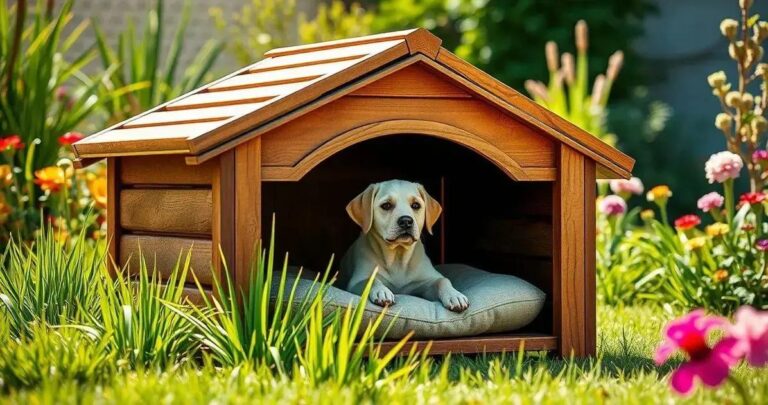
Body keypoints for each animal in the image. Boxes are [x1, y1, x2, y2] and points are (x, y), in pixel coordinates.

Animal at [340, 181, 472, 312]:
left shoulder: (426, 282)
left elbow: (442, 280)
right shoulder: (356, 281)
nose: (406, 221)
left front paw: (454, 295)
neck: (398, 258)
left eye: (416, 205)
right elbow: (371, 280)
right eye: (386, 205)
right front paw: (381, 291)